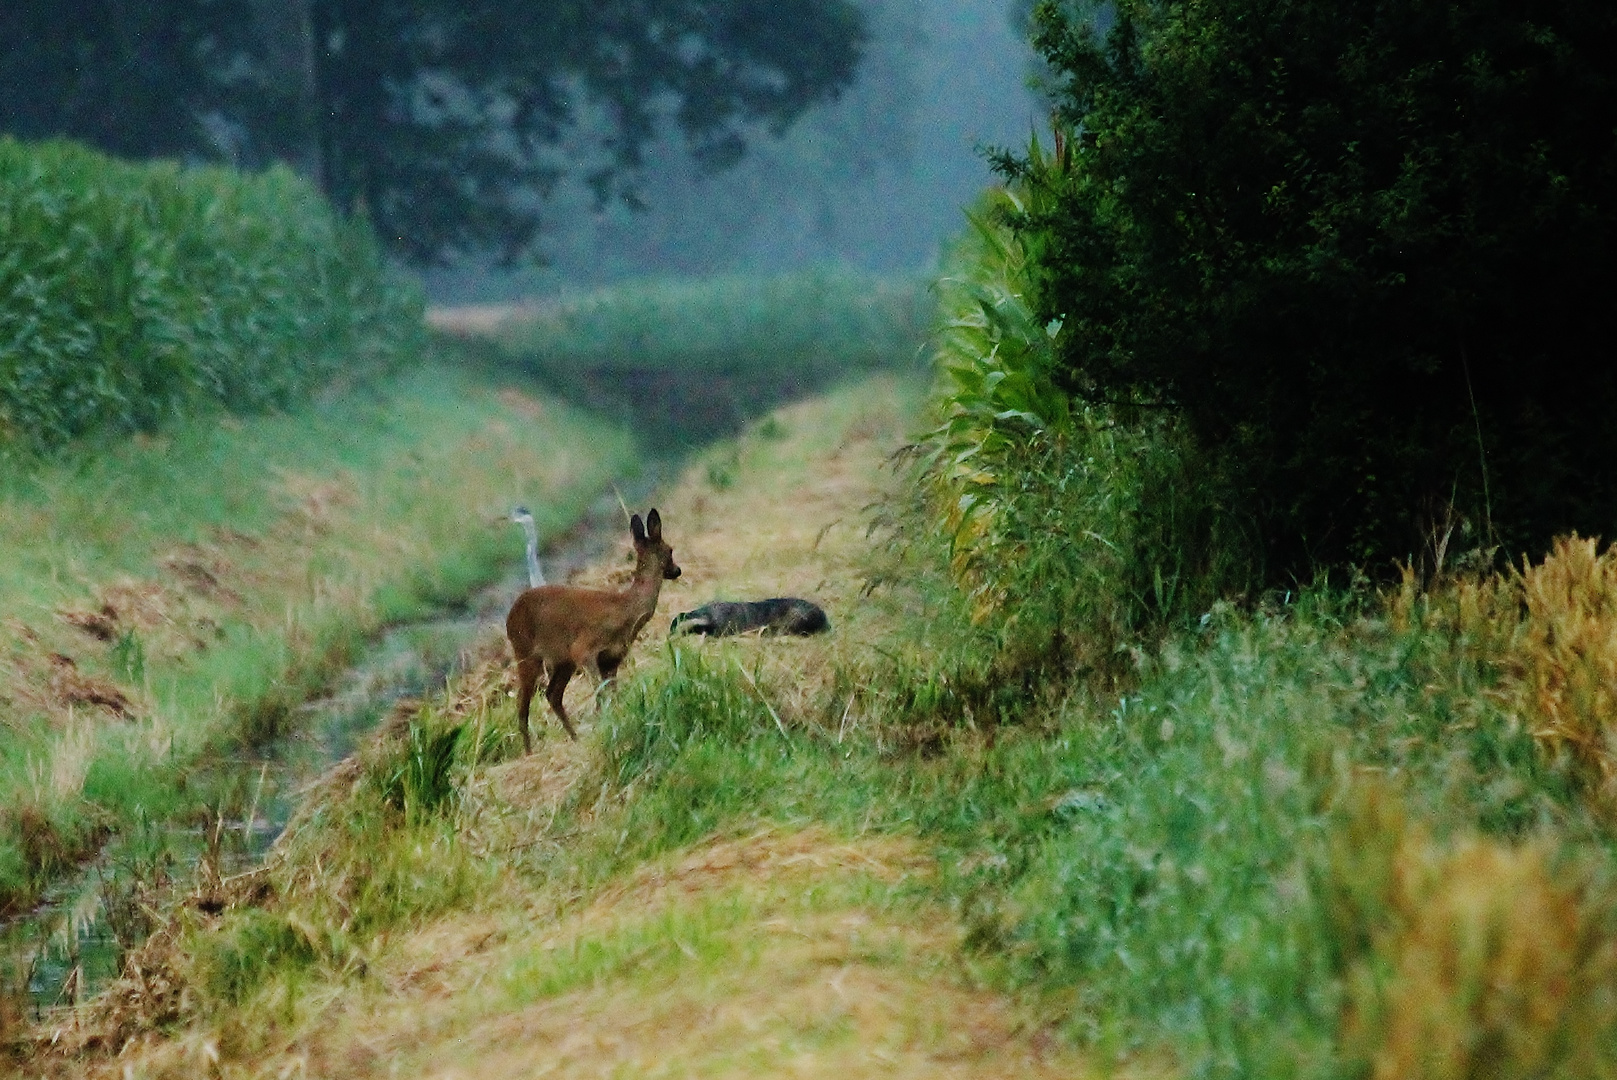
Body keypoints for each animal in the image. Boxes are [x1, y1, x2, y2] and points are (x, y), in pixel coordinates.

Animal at [504, 507, 682, 750]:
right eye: (670, 549)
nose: (677, 570)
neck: (625, 609)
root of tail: (509, 617)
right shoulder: (584, 649)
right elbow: (600, 694)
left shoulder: (612, 659)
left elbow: (611, 695)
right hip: (526, 652)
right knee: (523, 705)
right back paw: (530, 752)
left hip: (563, 661)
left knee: (552, 694)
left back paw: (574, 738)